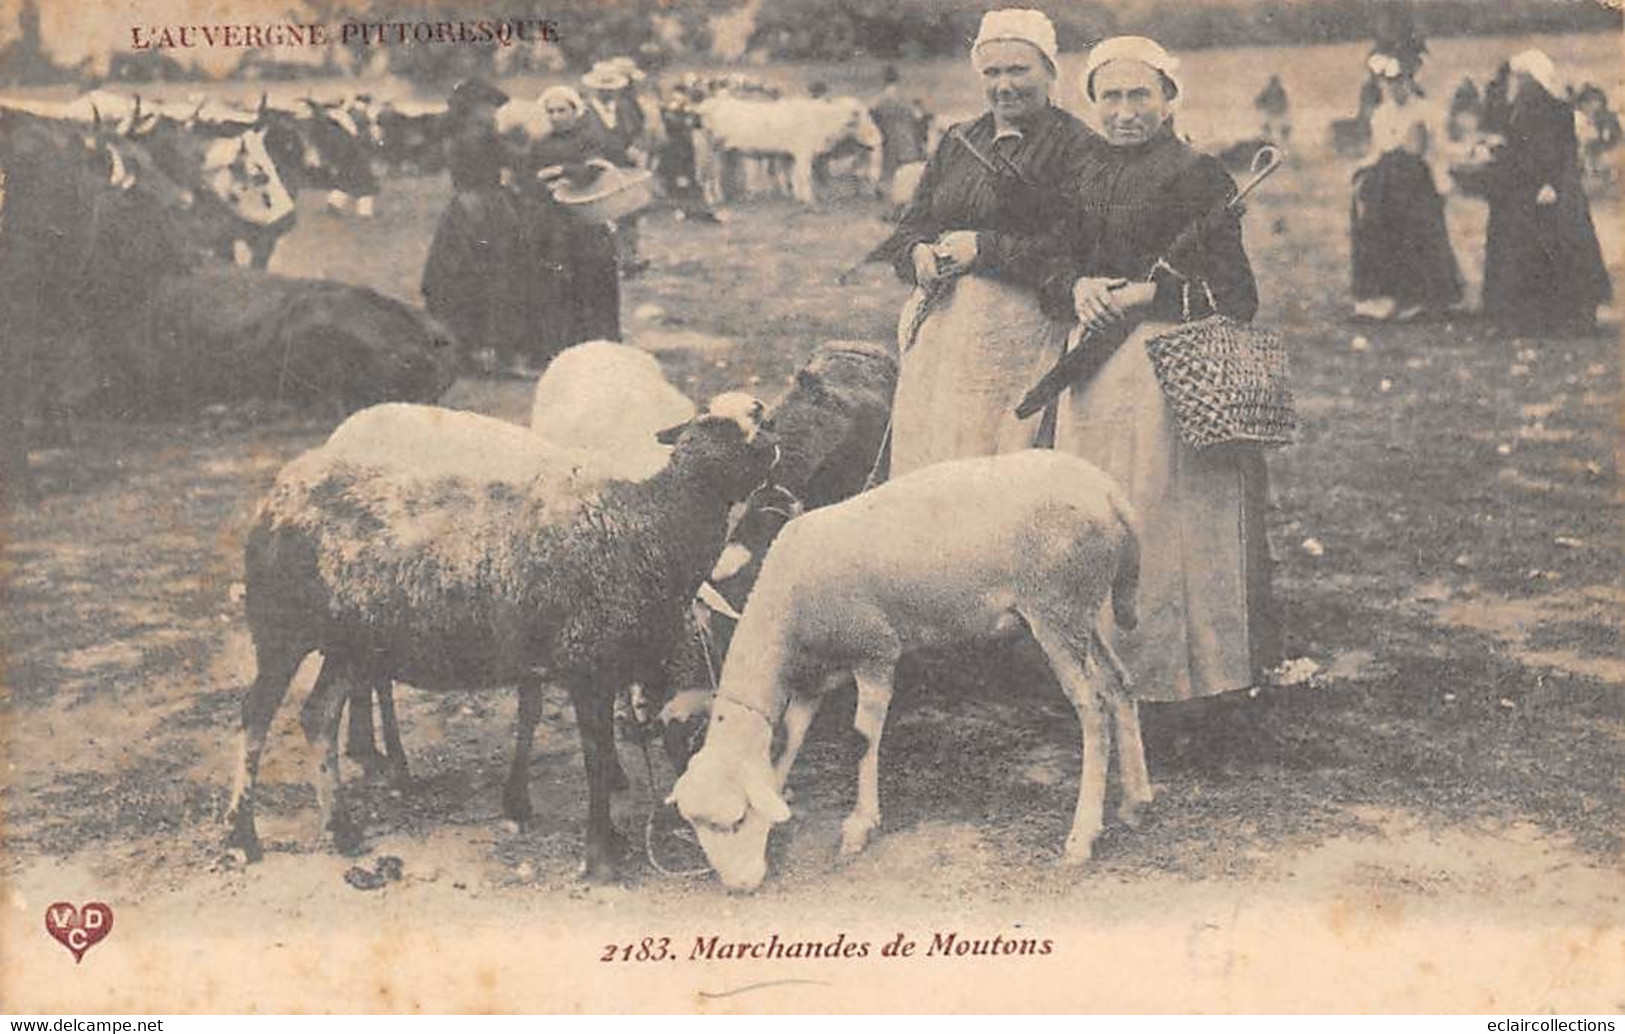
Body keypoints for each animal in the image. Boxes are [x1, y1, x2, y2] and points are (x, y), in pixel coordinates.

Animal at [225, 391, 776, 877]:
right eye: (715, 424)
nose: (769, 432)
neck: (653, 525)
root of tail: (281, 489)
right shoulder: (588, 664)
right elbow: (594, 761)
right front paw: (599, 856)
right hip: (279, 630)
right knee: (255, 718)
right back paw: (241, 837)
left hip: (349, 645)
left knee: (318, 717)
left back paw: (342, 829)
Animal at [669, 448, 1144, 890]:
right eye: (695, 827)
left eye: (737, 819)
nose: (739, 885)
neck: (784, 619)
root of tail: (1111, 493)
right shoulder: (811, 683)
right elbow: (789, 742)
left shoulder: (875, 654)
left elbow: (864, 738)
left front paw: (860, 825)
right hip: (1080, 614)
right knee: (1119, 685)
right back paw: (1135, 801)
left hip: (1055, 609)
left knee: (1093, 709)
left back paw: (1082, 836)